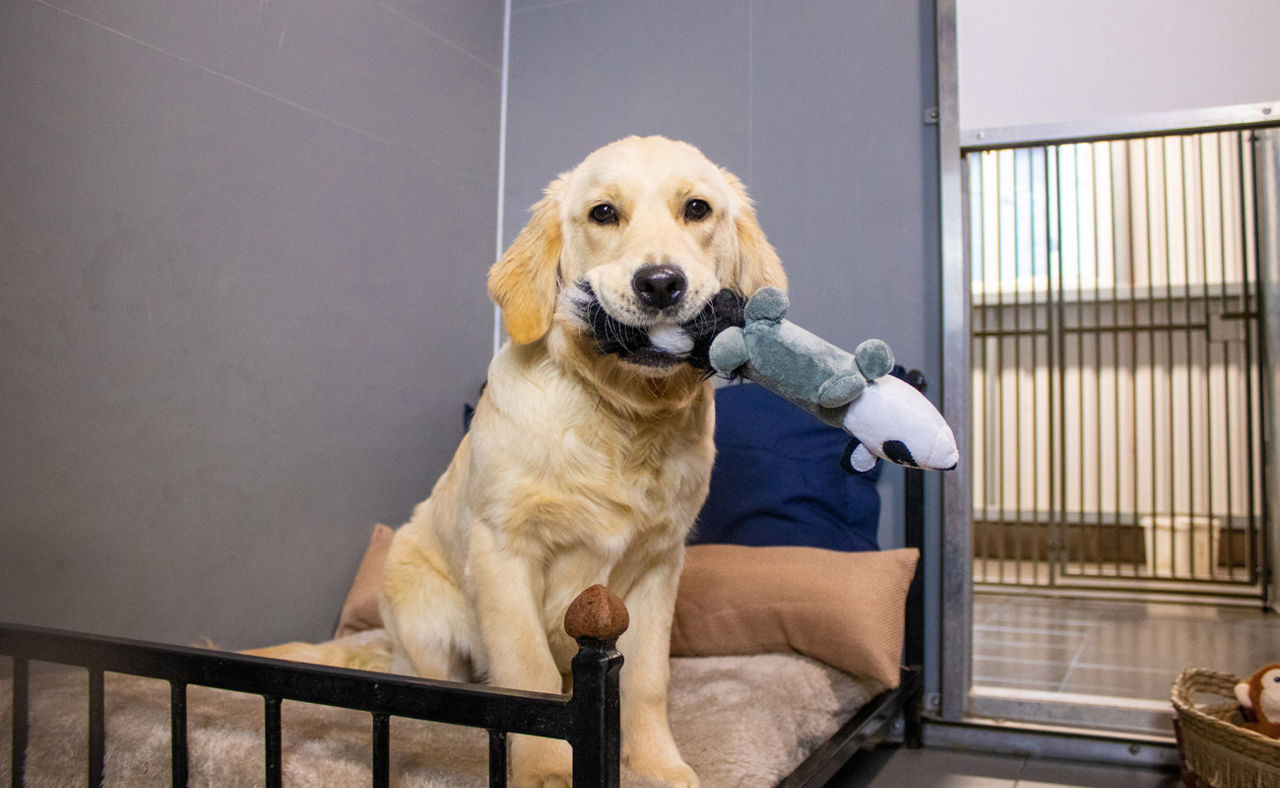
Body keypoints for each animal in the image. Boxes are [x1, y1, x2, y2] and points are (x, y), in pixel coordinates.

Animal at [263, 136, 778, 788]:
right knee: (438, 696)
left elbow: (647, 681)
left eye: (697, 208)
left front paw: (658, 765)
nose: (660, 284)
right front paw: (546, 773)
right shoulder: (503, 550)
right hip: (418, 609)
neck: (619, 416)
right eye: (603, 213)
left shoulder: (660, 565)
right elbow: (527, 668)